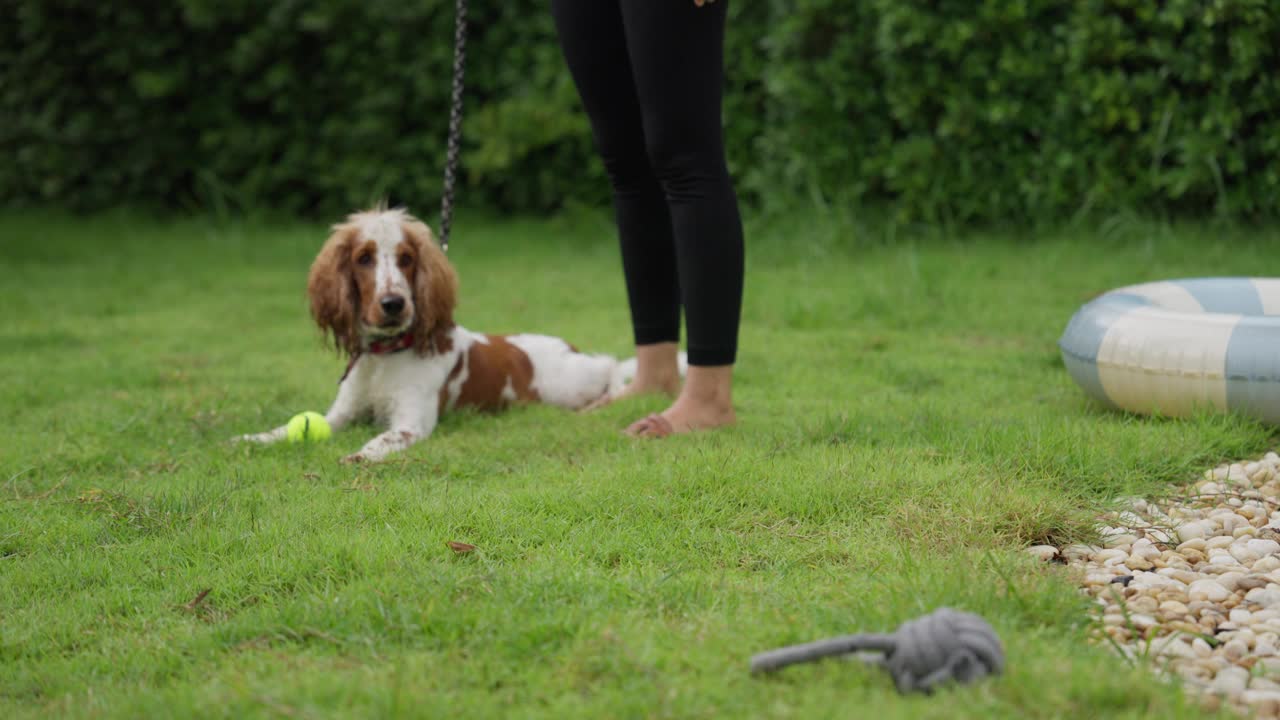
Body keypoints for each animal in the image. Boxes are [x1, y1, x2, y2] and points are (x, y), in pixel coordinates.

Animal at [234, 204, 655, 461]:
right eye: (363, 258)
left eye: (406, 258)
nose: (393, 304)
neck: (384, 357)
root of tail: (569, 346)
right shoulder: (340, 414)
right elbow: (288, 428)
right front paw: (250, 439)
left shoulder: (411, 423)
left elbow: (383, 438)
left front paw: (360, 455)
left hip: (570, 384)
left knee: (611, 367)